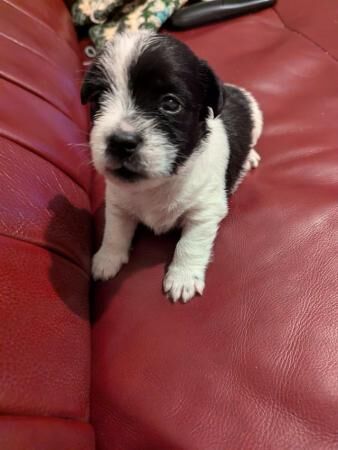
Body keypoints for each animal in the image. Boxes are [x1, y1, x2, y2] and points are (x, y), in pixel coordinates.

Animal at [82, 31, 264, 302]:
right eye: (98, 100)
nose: (121, 142)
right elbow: (114, 231)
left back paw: (250, 156)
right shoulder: (117, 204)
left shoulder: (205, 211)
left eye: (170, 103)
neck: (158, 185)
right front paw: (107, 258)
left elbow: (190, 244)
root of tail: (233, 90)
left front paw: (183, 277)